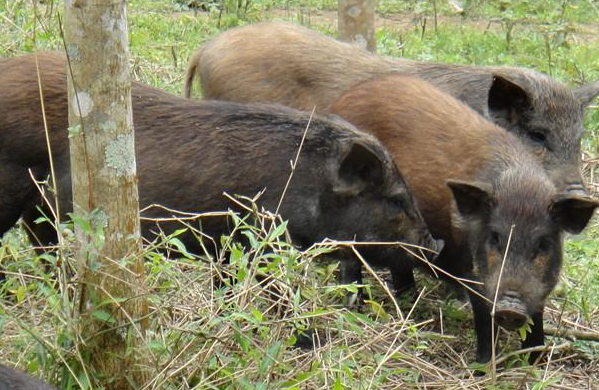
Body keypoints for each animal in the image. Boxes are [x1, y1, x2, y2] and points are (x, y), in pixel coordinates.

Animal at [0, 52, 440, 292]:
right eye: (396, 200)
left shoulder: (225, 249)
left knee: (43, 245)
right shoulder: (262, 239)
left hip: (40, 209)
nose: (433, 243)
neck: (307, 182)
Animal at [328, 75, 599, 366]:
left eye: (543, 244)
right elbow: (483, 321)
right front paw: (483, 366)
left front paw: (534, 362)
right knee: (349, 255)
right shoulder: (475, 274)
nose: (511, 307)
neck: (520, 186)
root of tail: (341, 101)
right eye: (494, 238)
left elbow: (535, 324)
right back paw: (354, 303)